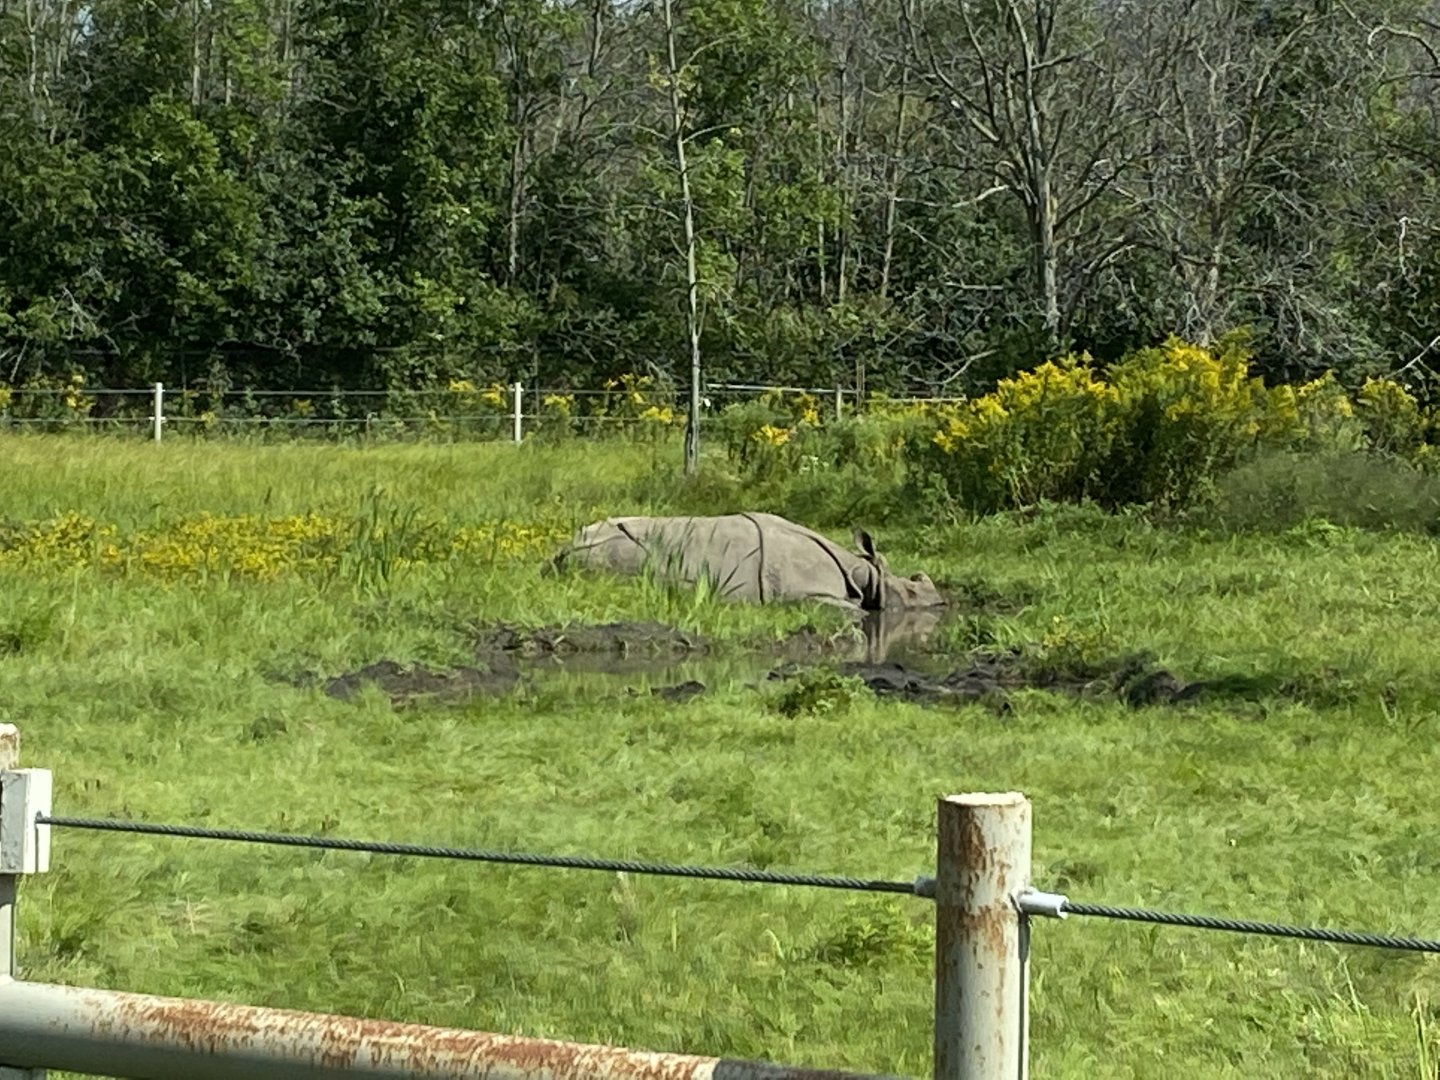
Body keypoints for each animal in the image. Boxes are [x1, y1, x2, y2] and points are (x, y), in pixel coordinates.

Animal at [552, 512, 946, 613]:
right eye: (912, 591)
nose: (942, 602)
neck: (863, 572)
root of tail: (561, 549)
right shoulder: (803, 594)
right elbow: (857, 613)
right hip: (611, 555)